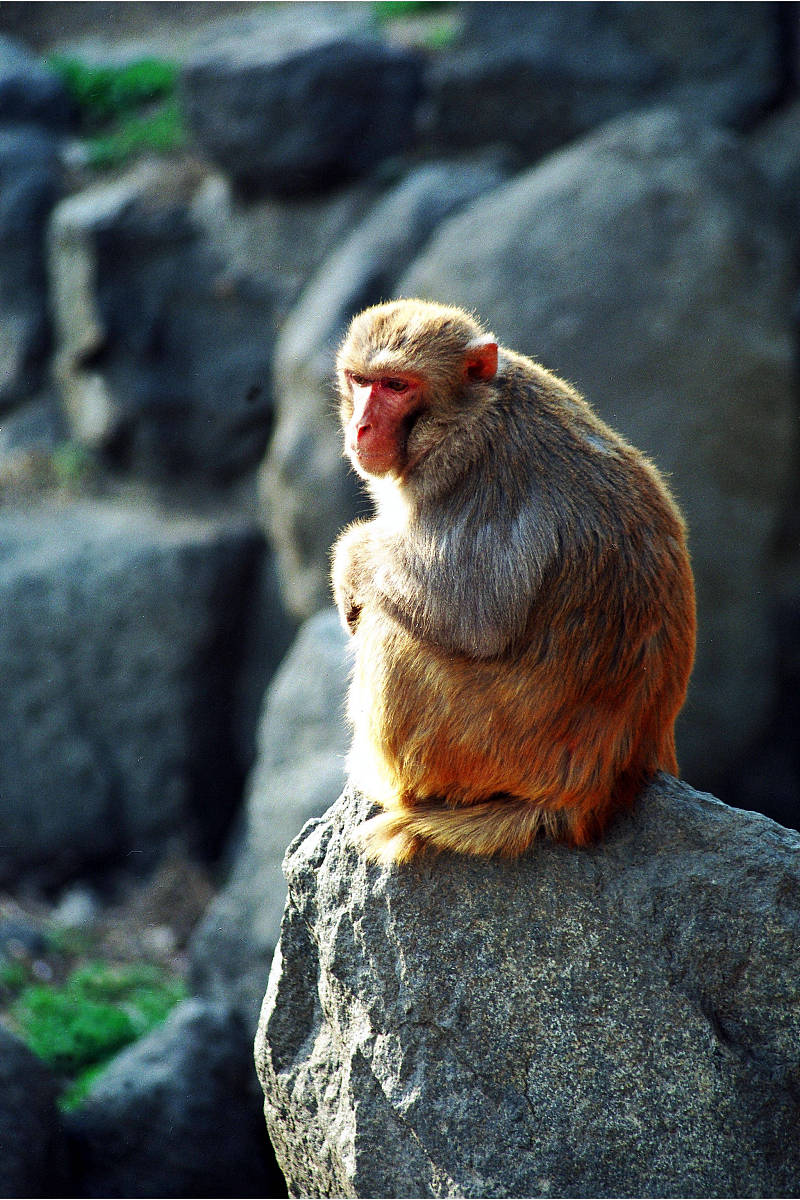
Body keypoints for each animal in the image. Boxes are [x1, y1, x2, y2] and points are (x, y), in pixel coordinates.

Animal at [331, 300, 695, 864]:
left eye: (396, 385)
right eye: (360, 380)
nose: (363, 427)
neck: (471, 415)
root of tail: (589, 795)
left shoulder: (480, 481)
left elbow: (471, 613)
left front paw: (349, 562)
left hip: (485, 749)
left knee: (393, 631)